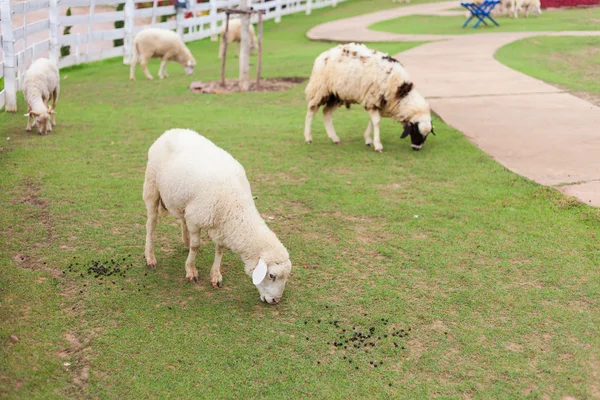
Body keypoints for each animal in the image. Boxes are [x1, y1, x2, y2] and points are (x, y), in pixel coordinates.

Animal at [145, 130, 296, 304]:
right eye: (272, 275)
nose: (276, 300)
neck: (234, 204)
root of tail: (171, 131)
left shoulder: (220, 225)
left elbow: (220, 250)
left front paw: (215, 275)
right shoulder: (196, 219)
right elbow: (196, 246)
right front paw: (191, 270)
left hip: (182, 200)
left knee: (181, 219)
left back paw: (185, 241)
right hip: (151, 186)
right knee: (151, 224)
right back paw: (150, 257)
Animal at [304, 42, 436, 152]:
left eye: (427, 135)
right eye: (415, 131)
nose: (416, 148)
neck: (401, 92)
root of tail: (325, 53)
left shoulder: (378, 103)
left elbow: (372, 122)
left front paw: (368, 140)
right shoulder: (373, 100)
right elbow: (376, 122)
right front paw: (378, 145)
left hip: (336, 94)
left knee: (326, 112)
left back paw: (334, 137)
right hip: (319, 88)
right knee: (311, 111)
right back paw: (308, 137)